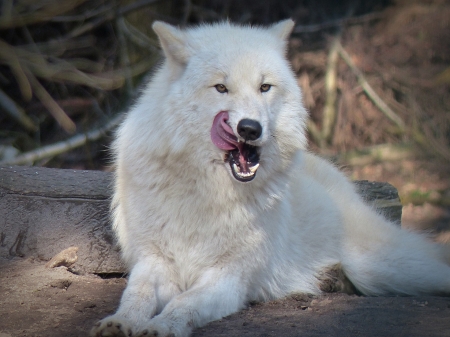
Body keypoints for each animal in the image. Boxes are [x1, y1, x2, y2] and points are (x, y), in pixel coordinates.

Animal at [90, 19, 450, 334]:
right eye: (221, 88)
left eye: (264, 87)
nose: (250, 128)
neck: (206, 191)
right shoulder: (153, 261)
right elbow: (135, 296)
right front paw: (119, 323)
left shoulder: (228, 277)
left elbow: (183, 303)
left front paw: (161, 327)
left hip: (384, 267)